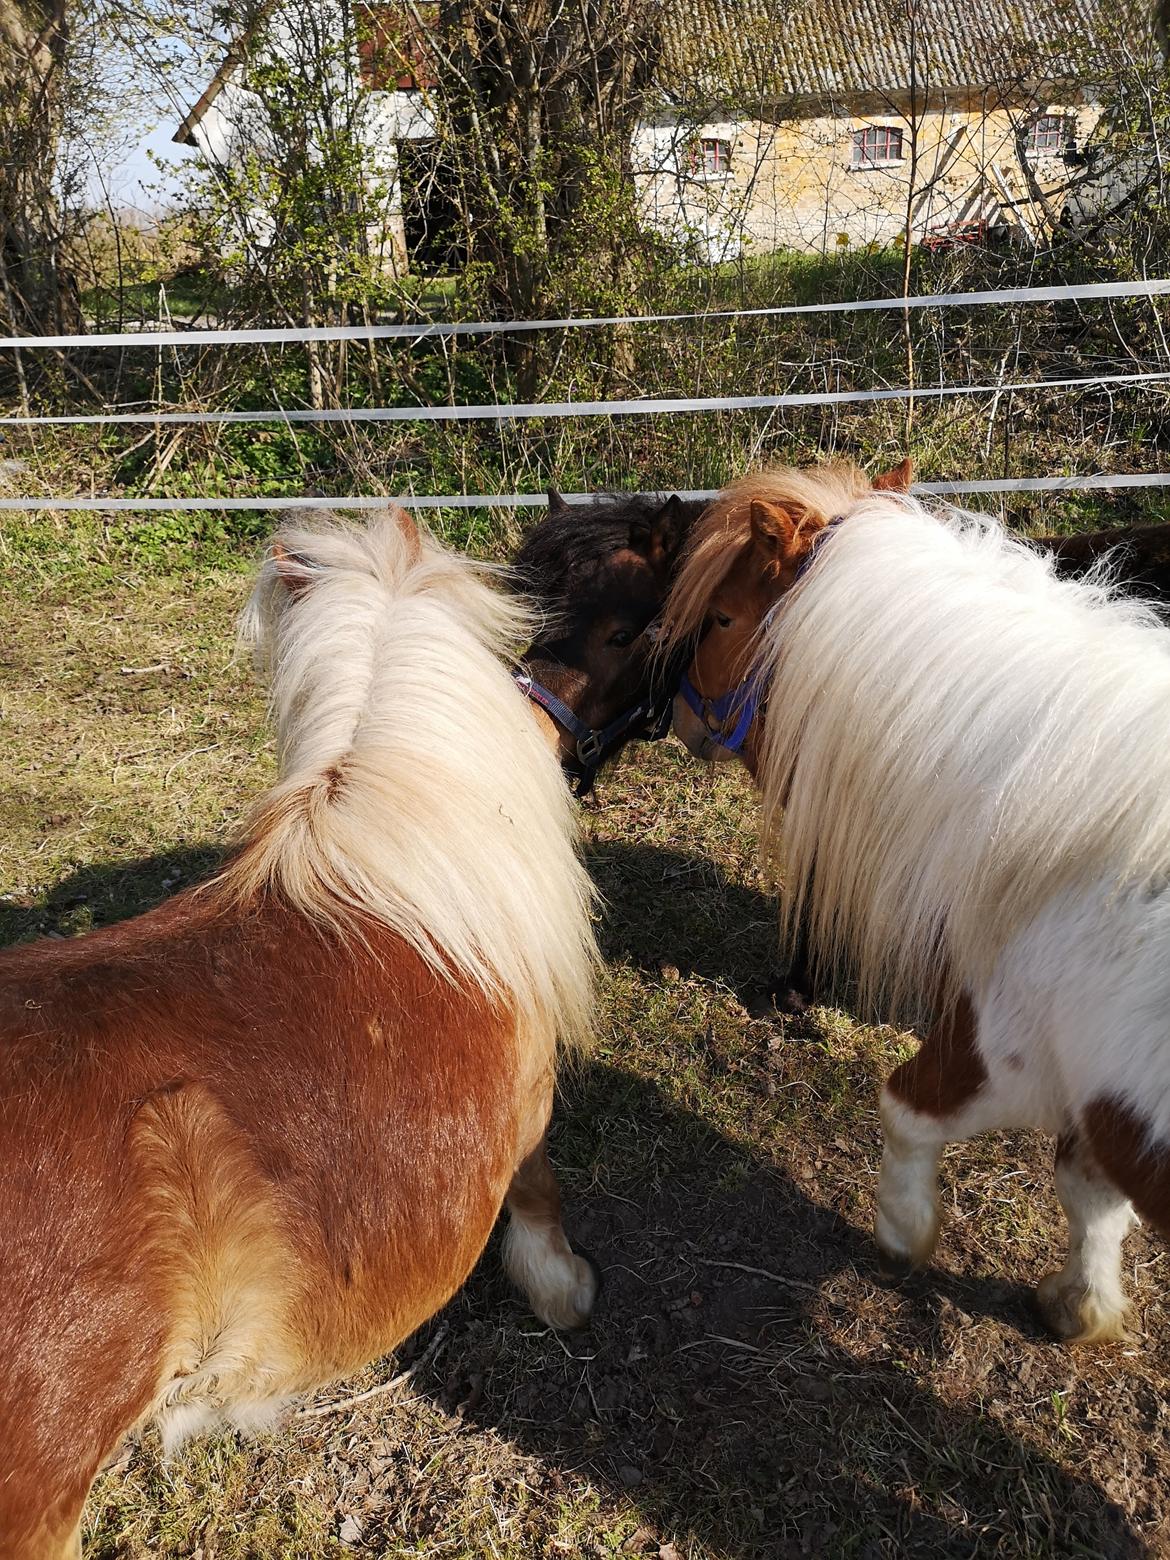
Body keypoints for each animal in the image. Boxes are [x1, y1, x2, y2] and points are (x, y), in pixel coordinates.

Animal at [664, 458, 1170, 1341]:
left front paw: (902, 1233)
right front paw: (1082, 1302)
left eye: (723, 618)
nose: (681, 716)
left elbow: (907, 1109)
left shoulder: (1007, 1054)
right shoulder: (1101, 1101)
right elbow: (1092, 1195)